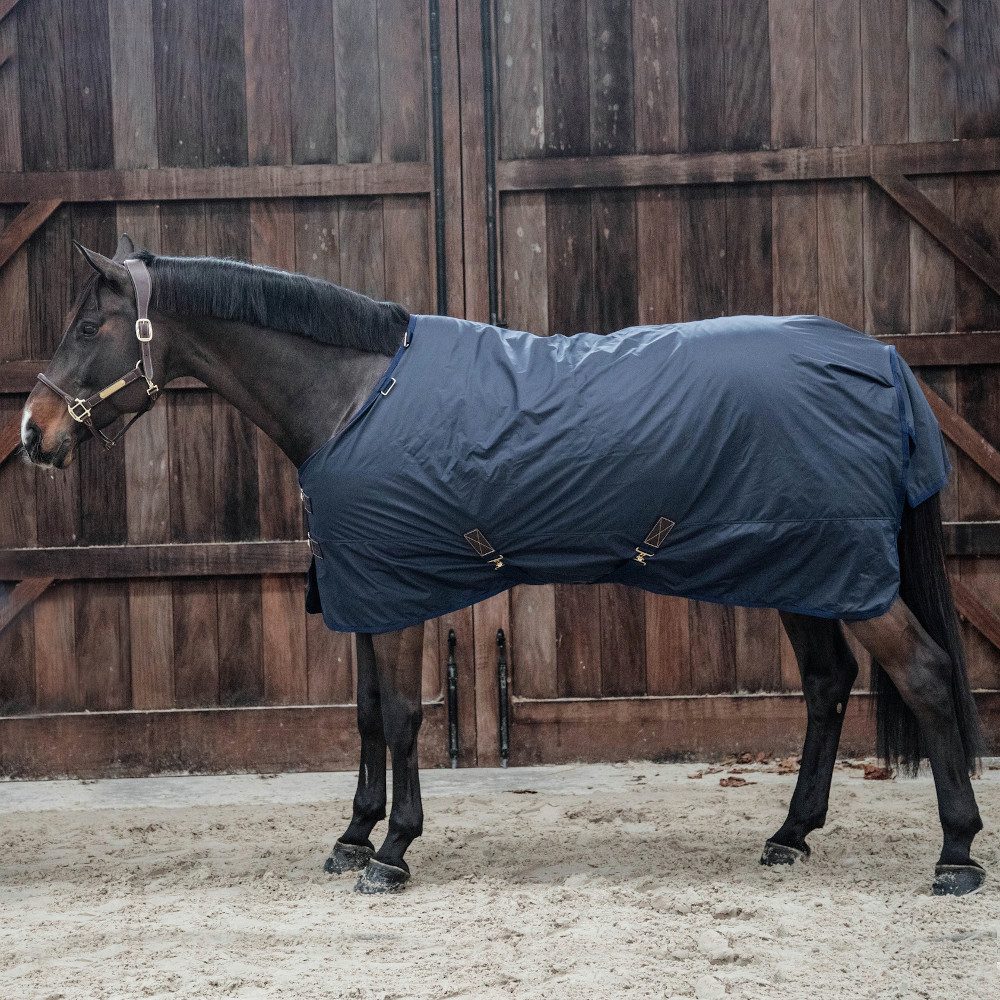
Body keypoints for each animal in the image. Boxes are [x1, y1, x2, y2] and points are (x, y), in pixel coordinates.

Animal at [20, 235, 986, 897]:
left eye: (88, 325)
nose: (34, 432)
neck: (356, 397)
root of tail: (880, 359)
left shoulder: (397, 589)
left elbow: (401, 716)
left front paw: (393, 851)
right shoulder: (363, 589)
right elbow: (365, 715)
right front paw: (353, 836)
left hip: (843, 573)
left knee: (927, 674)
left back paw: (956, 853)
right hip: (803, 567)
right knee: (828, 685)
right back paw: (791, 835)